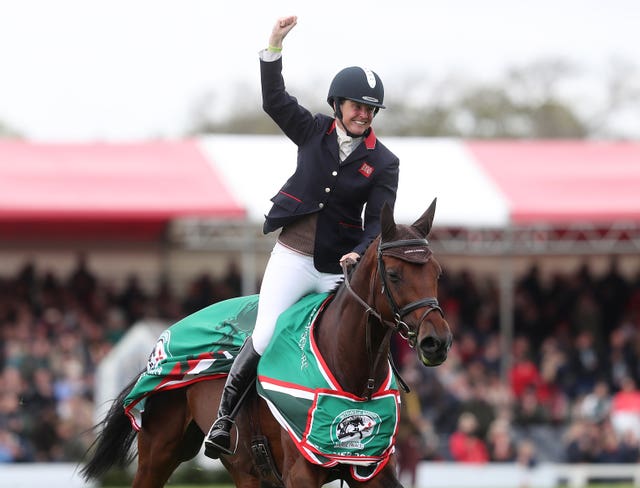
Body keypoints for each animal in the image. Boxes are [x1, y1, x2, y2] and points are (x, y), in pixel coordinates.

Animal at [81, 199, 450, 488]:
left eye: (437, 273)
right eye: (395, 275)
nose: (437, 342)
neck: (357, 376)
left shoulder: (372, 470)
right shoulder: (301, 473)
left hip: (243, 468)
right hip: (159, 451)